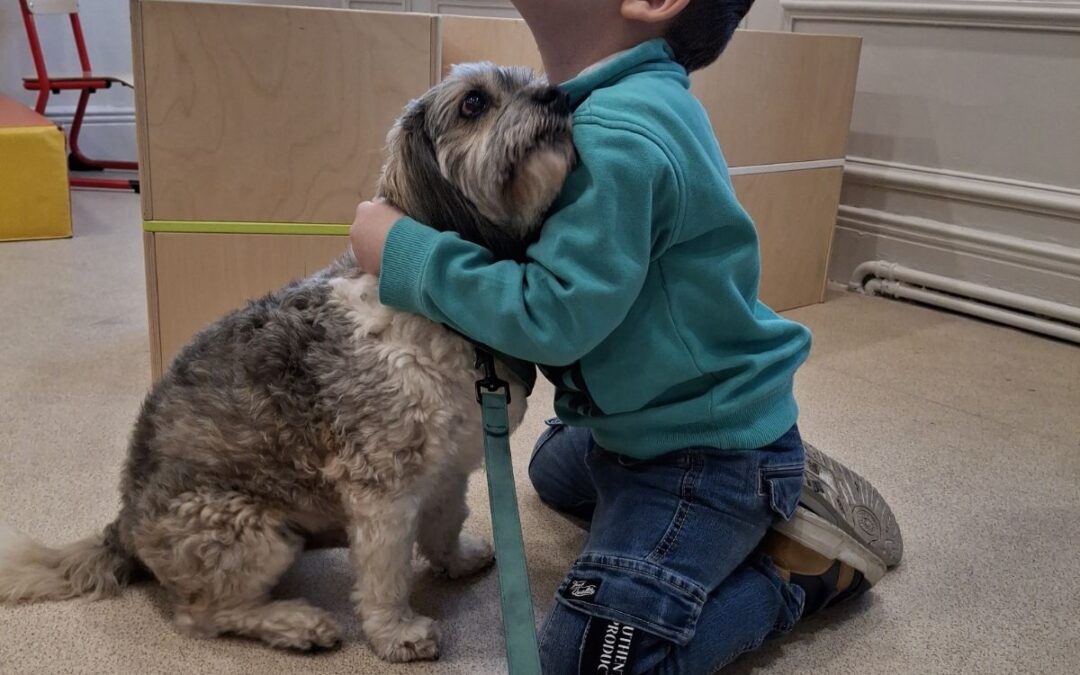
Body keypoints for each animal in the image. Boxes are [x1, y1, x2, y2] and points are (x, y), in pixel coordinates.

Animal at [0, 64, 574, 665]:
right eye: (474, 103)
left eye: (531, 80)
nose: (557, 96)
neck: (435, 317)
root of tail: (124, 525)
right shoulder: (383, 490)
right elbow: (385, 573)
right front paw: (398, 633)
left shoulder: (449, 466)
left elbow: (445, 522)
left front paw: (457, 561)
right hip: (249, 530)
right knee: (204, 616)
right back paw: (297, 622)